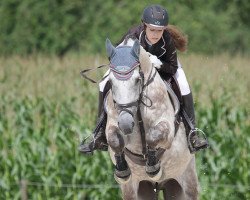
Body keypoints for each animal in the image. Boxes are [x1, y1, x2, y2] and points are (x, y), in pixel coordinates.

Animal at [104, 36, 198, 199]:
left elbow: (153, 136)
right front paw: (122, 170)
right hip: (138, 189)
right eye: (110, 81)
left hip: (187, 182)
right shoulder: (113, 125)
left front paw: (153, 167)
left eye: (137, 80)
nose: (126, 124)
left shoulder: (167, 130)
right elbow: (115, 139)